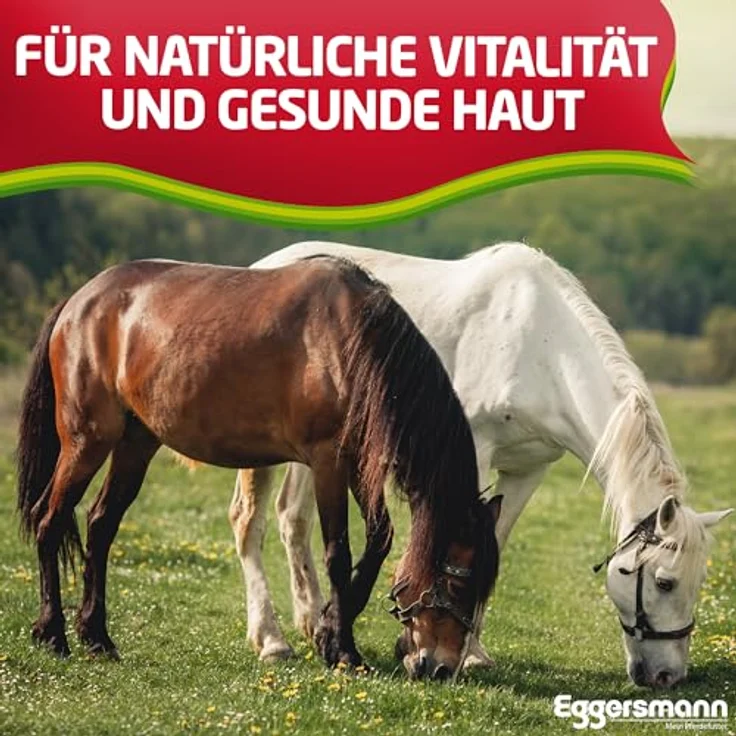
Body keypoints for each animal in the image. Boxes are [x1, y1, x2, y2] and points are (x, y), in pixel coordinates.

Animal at [16, 257, 502, 678]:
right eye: (459, 583)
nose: (441, 667)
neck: (351, 341)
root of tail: (79, 302)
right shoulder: (328, 462)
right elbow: (338, 554)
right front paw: (343, 650)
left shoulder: (359, 464)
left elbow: (379, 539)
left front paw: (328, 631)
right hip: (86, 442)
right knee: (50, 520)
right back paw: (53, 633)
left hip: (136, 445)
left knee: (100, 526)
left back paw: (96, 637)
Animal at [229, 241, 732, 688]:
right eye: (665, 582)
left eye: (700, 581)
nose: (668, 676)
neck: (541, 349)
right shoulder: (472, 453)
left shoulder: (529, 470)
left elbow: (495, 543)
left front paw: (471, 651)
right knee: (249, 521)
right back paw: (271, 639)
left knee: (292, 519)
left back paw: (313, 622)